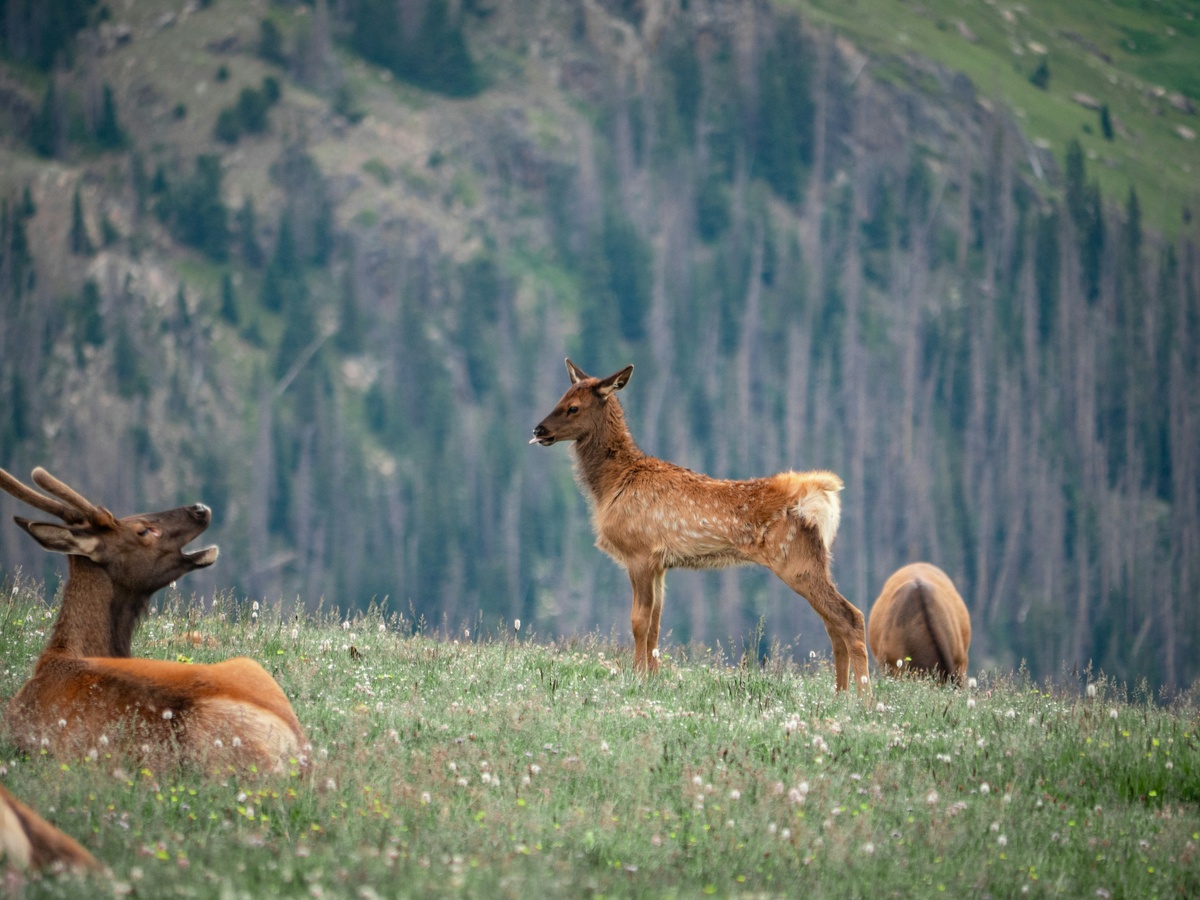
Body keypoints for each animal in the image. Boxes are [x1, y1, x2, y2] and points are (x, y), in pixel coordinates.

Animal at [530, 362, 868, 696]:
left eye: (573, 407)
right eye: (561, 397)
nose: (538, 430)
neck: (612, 484)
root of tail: (822, 497)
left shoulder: (640, 553)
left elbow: (639, 621)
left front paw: (637, 677)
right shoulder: (660, 564)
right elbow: (655, 624)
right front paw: (654, 678)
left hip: (794, 559)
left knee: (850, 616)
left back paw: (863, 696)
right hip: (814, 561)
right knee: (833, 623)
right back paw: (841, 693)